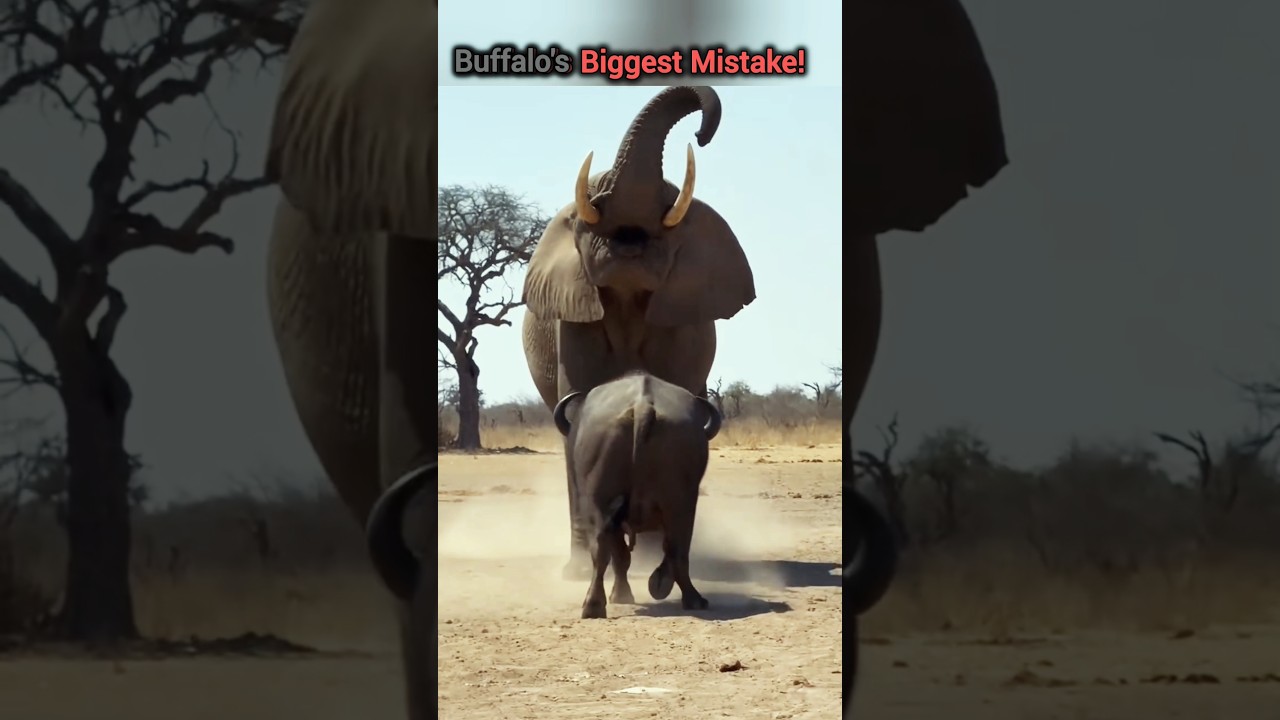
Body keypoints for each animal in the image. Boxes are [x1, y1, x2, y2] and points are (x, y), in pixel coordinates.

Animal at [519, 85, 756, 581]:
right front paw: (582, 571)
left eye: (671, 205)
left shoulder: (682, 327)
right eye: (590, 204)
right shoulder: (574, 320)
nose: (702, 133)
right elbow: (577, 415)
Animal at [551, 372, 723, 619]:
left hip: (603, 505)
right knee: (677, 549)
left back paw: (593, 605)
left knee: (602, 550)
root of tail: (643, 406)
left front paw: (622, 594)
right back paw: (693, 598)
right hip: (680, 504)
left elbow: (620, 556)